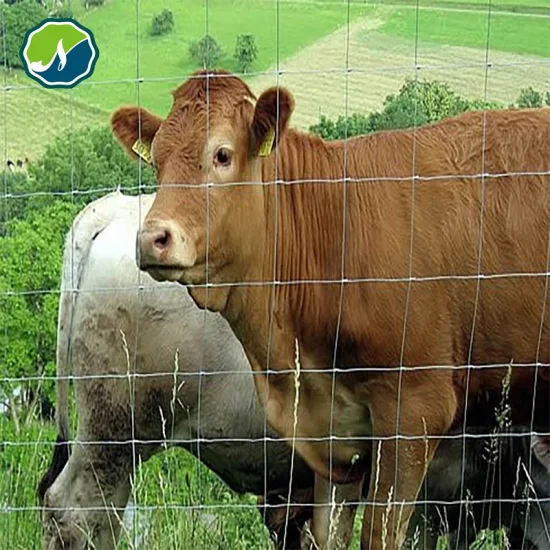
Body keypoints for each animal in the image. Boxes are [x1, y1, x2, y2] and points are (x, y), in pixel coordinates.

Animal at [110, 71, 550, 548]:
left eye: (222, 154)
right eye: (157, 161)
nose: (151, 238)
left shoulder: (415, 408)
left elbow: (380, 534)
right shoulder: (336, 432)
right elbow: (327, 534)